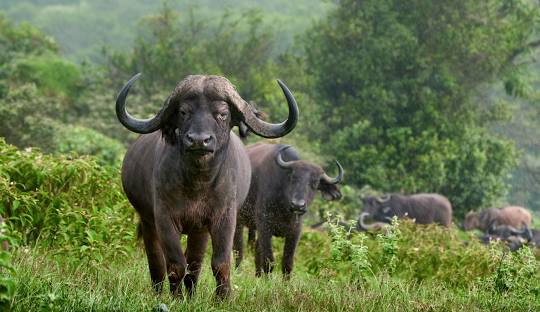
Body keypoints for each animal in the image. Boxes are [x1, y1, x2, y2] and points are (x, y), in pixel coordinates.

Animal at [116, 73, 300, 298]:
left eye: (222, 114)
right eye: (184, 112)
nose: (198, 140)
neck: (198, 184)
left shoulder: (224, 218)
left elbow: (220, 263)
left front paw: (223, 297)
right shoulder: (164, 218)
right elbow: (175, 264)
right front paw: (176, 298)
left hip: (199, 230)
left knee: (195, 262)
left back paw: (192, 293)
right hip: (147, 220)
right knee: (157, 259)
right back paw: (160, 291)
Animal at [234, 143, 344, 276]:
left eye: (315, 183)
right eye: (293, 178)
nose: (298, 205)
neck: (284, 209)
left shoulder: (295, 232)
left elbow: (287, 263)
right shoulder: (265, 226)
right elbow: (269, 260)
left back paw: (258, 275)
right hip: (237, 220)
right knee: (238, 249)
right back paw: (238, 271)